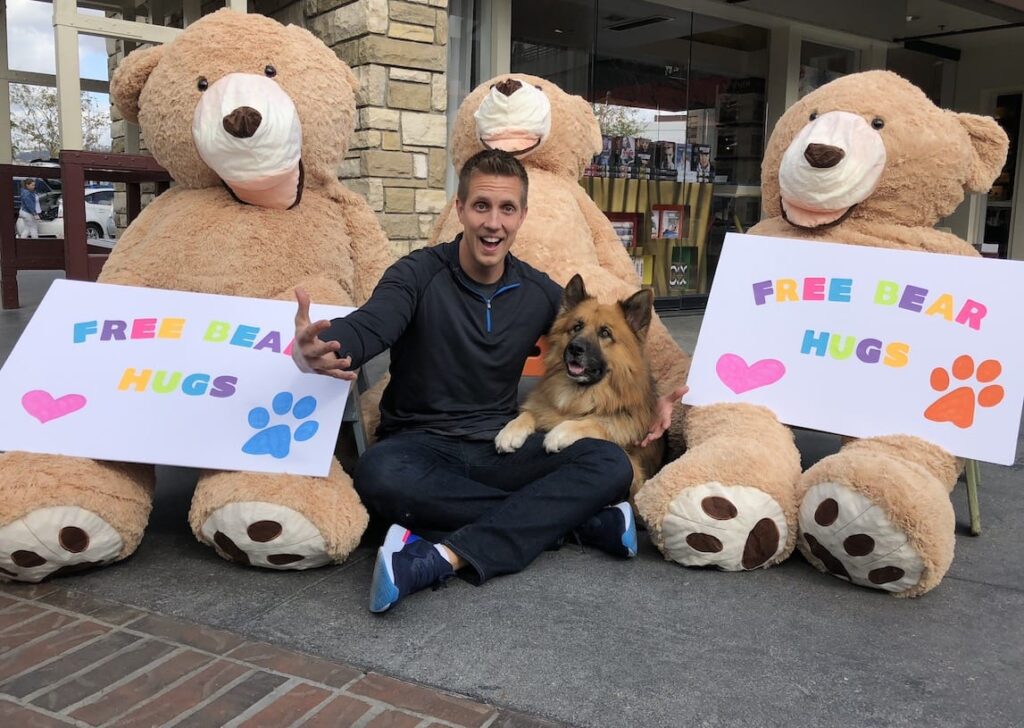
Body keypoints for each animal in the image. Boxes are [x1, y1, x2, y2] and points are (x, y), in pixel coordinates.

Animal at [493, 274, 663, 495]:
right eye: (576, 327)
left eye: (605, 333)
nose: (575, 348)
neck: (580, 397)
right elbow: (529, 413)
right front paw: (510, 431)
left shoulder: (634, 466)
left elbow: (595, 423)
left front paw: (560, 432)